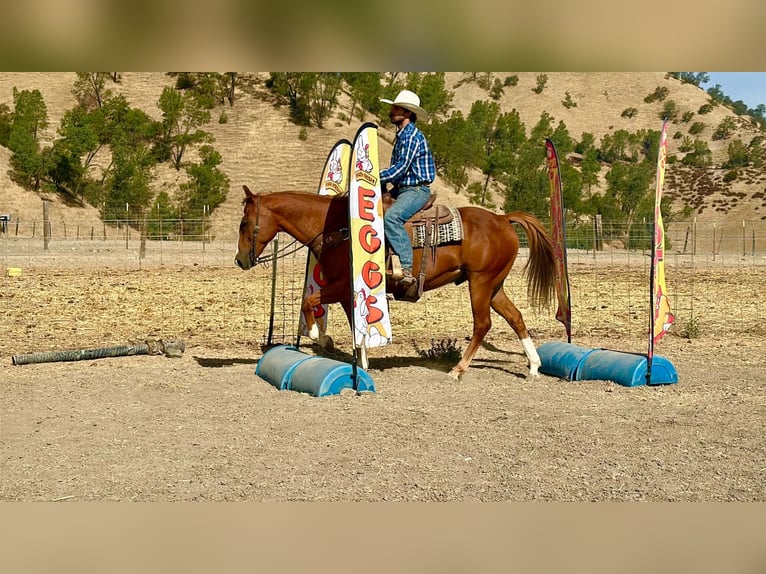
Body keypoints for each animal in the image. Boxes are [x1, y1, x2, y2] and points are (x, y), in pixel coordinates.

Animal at [235, 185, 557, 379]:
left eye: (244, 224)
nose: (240, 260)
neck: (336, 227)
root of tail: (502, 219)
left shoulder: (341, 285)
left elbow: (309, 300)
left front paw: (318, 336)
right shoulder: (348, 291)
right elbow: (354, 323)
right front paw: (362, 360)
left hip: (480, 283)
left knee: (483, 324)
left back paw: (458, 369)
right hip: (494, 286)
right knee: (515, 317)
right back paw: (534, 366)